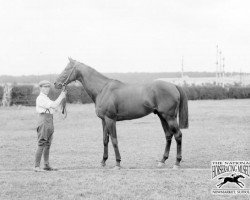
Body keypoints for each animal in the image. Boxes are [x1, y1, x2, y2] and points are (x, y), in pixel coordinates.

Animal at [54, 57, 188, 169]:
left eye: (66, 69)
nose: (56, 84)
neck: (102, 89)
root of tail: (174, 86)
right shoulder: (104, 120)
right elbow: (105, 140)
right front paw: (103, 161)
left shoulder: (110, 120)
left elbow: (114, 140)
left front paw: (117, 163)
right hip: (162, 116)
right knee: (168, 136)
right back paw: (162, 161)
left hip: (169, 117)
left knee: (178, 135)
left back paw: (177, 163)